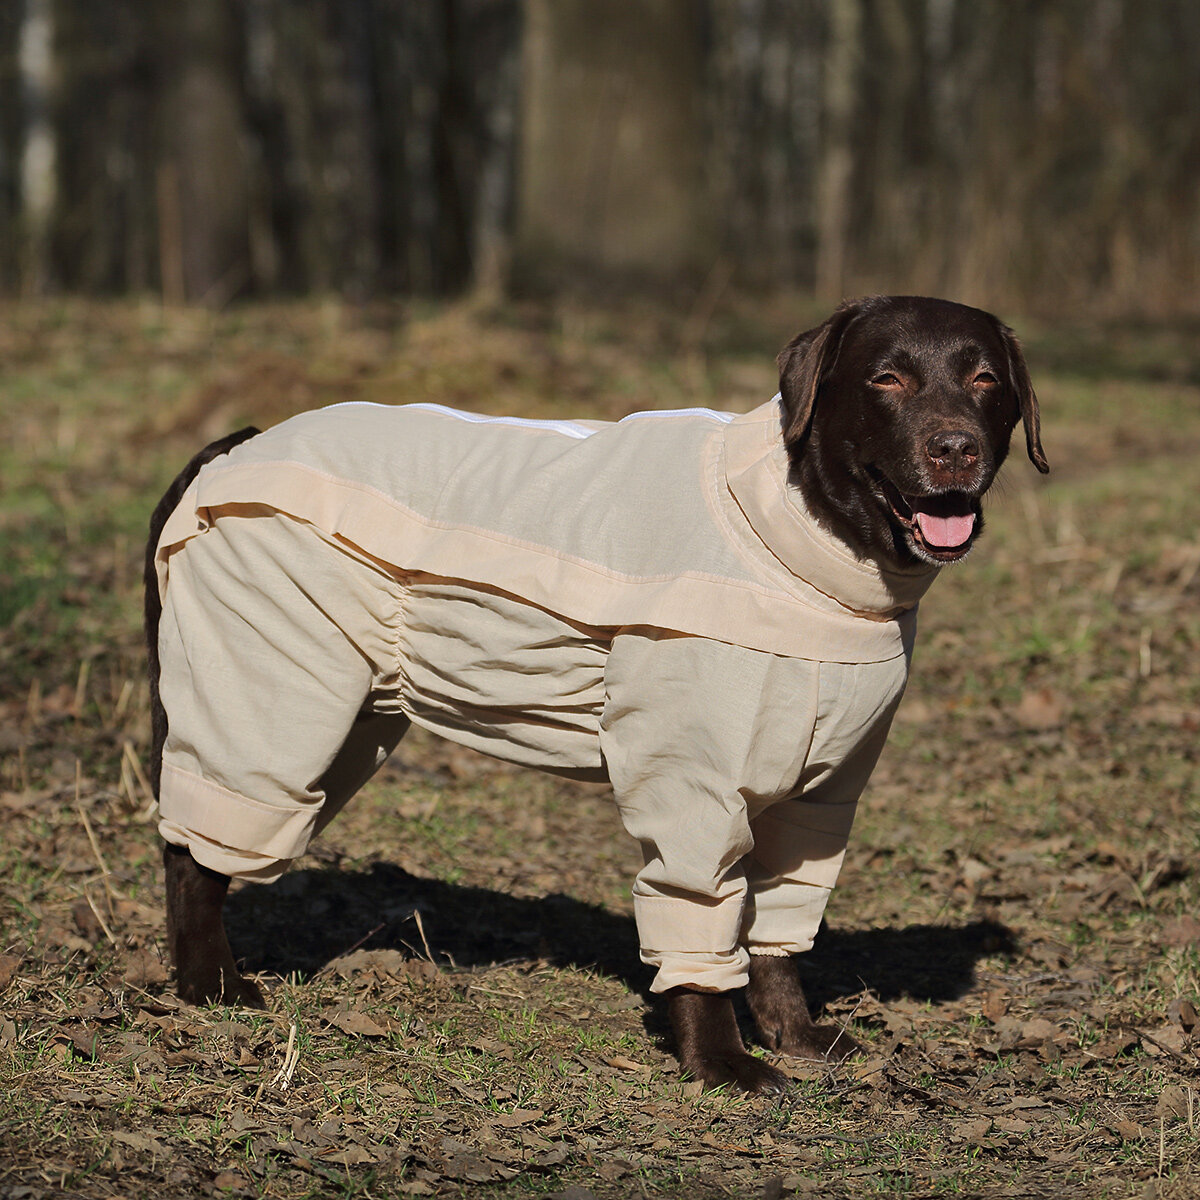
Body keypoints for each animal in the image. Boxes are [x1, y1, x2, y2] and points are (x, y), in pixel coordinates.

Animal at [147, 295, 1051, 1094]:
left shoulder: (819, 802)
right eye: (886, 378)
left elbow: (777, 934)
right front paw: (718, 1063)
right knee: (195, 848)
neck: (802, 543)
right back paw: (210, 987)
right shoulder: (696, 792)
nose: (955, 449)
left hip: (345, 713)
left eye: (984, 379)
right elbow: (702, 921)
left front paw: (793, 1037)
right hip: (271, 690)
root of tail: (234, 446)